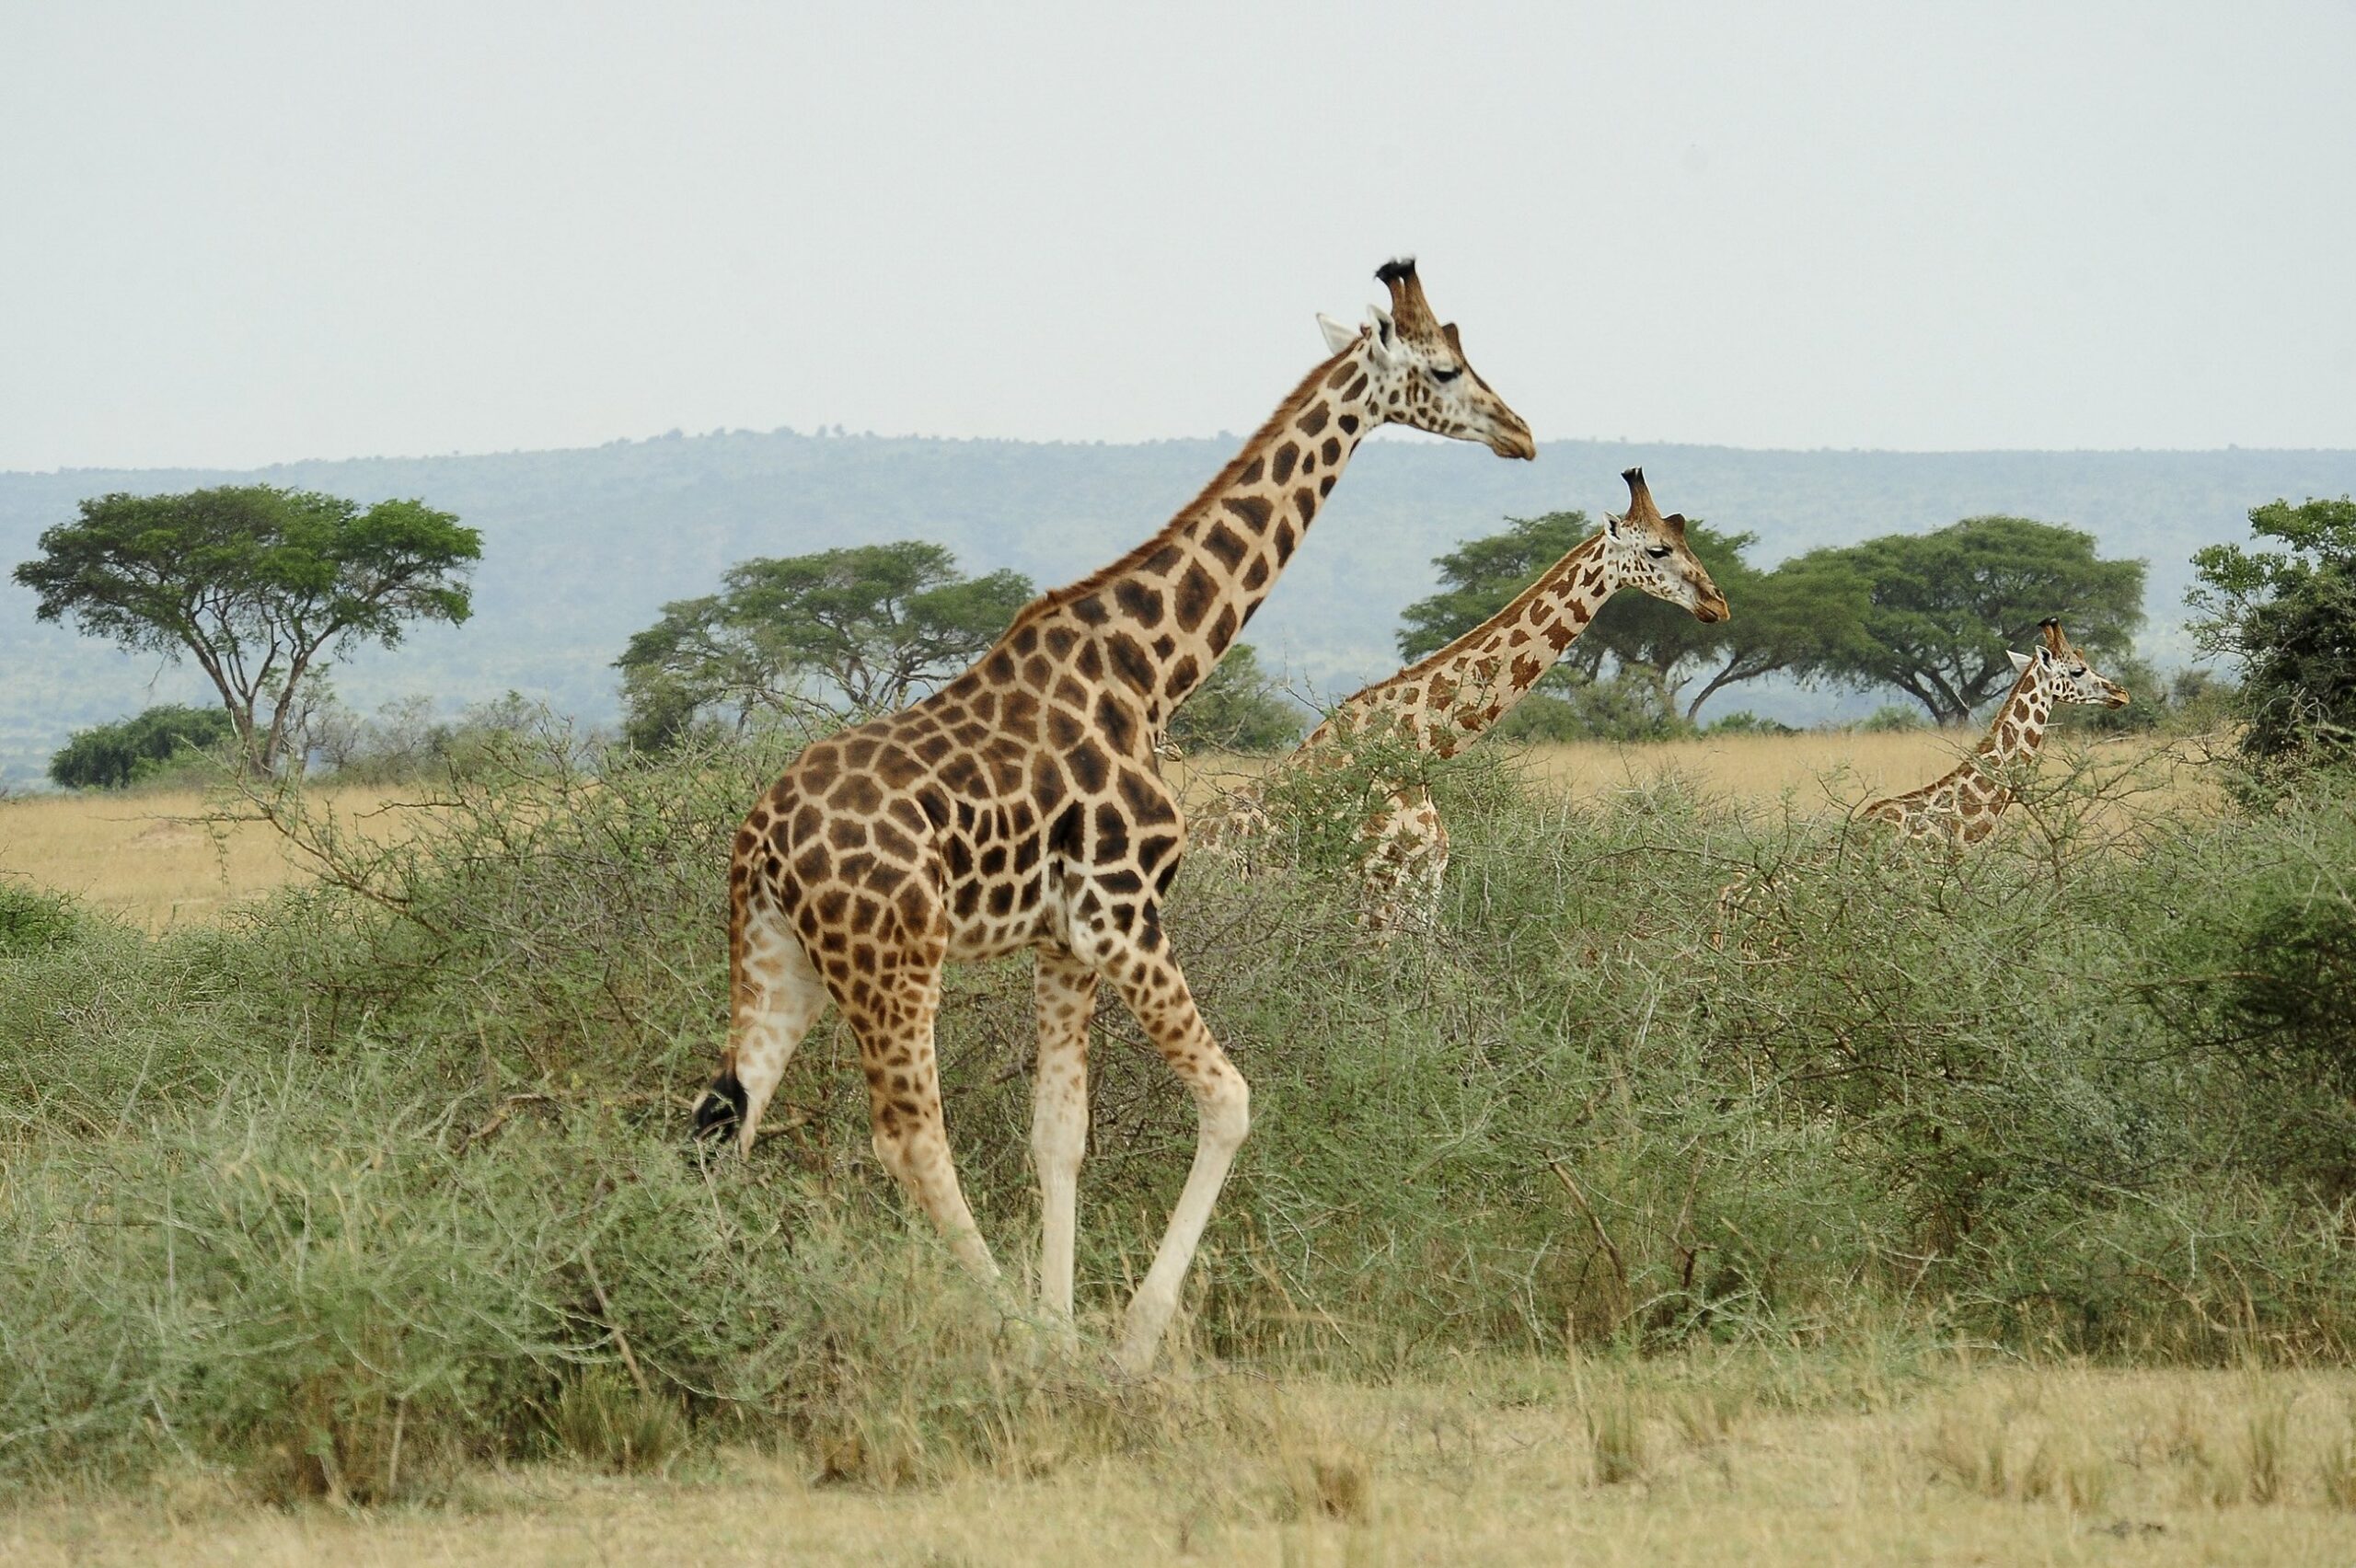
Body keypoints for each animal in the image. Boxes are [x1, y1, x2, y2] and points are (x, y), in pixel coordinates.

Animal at [691, 260, 1534, 1374]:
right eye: (1443, 367)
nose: (1521, 433)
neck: (1152, 669)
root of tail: (762, 841)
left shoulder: (1065, 939)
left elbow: (1060, 1135)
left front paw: (1067, 1319)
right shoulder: (1124, 911)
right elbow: (1228, 1099)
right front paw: (1122, 1338)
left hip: (779, 959)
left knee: (724, 1116)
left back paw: (718, 1325)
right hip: (895, 960)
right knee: (908, 1134)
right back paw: (1000, 1331)